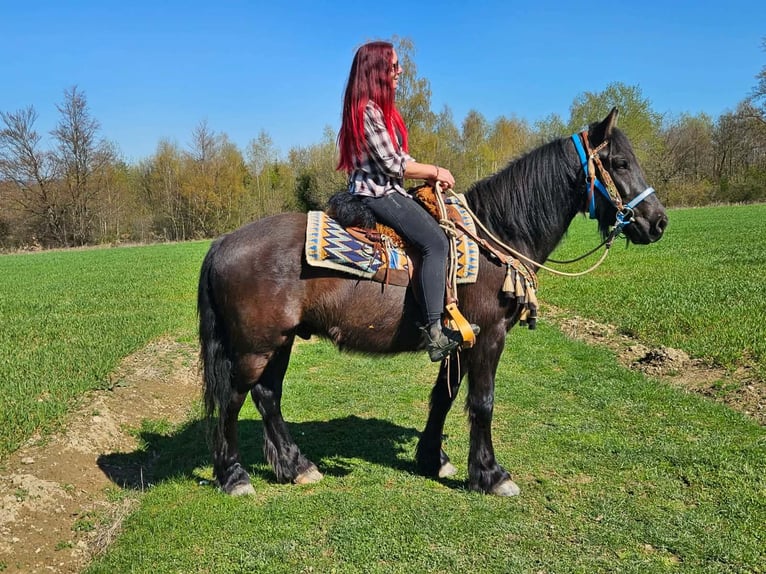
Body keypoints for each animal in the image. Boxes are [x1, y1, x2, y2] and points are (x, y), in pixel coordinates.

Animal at [197, 108, 668, 497]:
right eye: (620, 163)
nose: (658, 222)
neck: (498, 235)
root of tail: (222, 243)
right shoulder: (489, 336)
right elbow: (482, 402)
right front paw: (491, 475)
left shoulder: (459, 339)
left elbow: (444, 395)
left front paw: (433, 458)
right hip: (255, 346)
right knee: (234, 399)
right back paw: (234, 477)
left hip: (280, 341)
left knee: (267, 396)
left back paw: (296, 467)